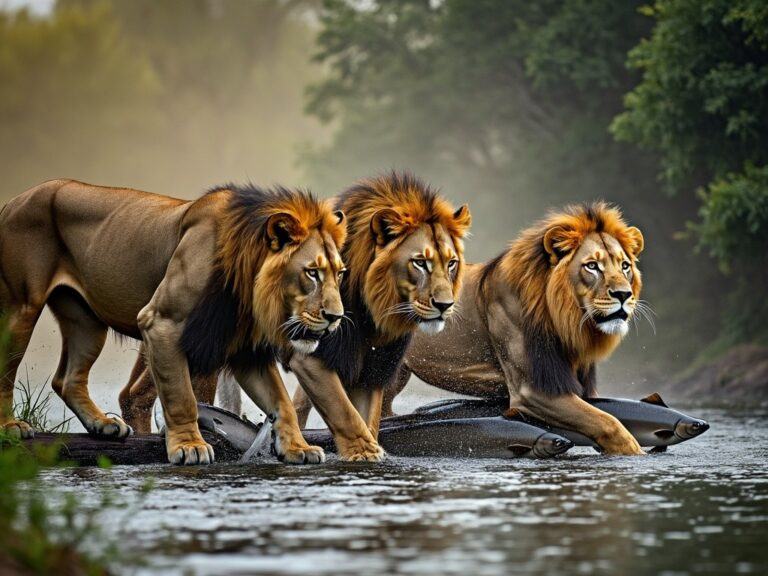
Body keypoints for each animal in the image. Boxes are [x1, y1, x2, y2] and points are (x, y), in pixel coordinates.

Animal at [0, 178, 348, 466]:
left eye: (340, 273)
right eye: (311, 272)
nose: (336, 318)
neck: (248, 280)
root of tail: (15, 200)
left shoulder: (245, 351)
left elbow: (281, 403)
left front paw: (298, 448)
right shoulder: (160, 322)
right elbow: (180, 396)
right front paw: (189, 446)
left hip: (86, 321)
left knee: (67, 378)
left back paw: (103, 425)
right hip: (21, 307)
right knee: (8, 369)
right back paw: (11, 426)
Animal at [288, 172, 468, 460]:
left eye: (451, 263)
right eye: (420, 262)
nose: (444, 304)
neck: (374, 313)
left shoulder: (374, 365)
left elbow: (367, 417)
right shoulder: (310, 355)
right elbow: (343, 410)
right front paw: (365, 453)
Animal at [384, 202, 648, 454]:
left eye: (625, 266)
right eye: (592, 266)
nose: (624, 294)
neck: (569, 322)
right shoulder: (532, 391)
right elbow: (609, 423)